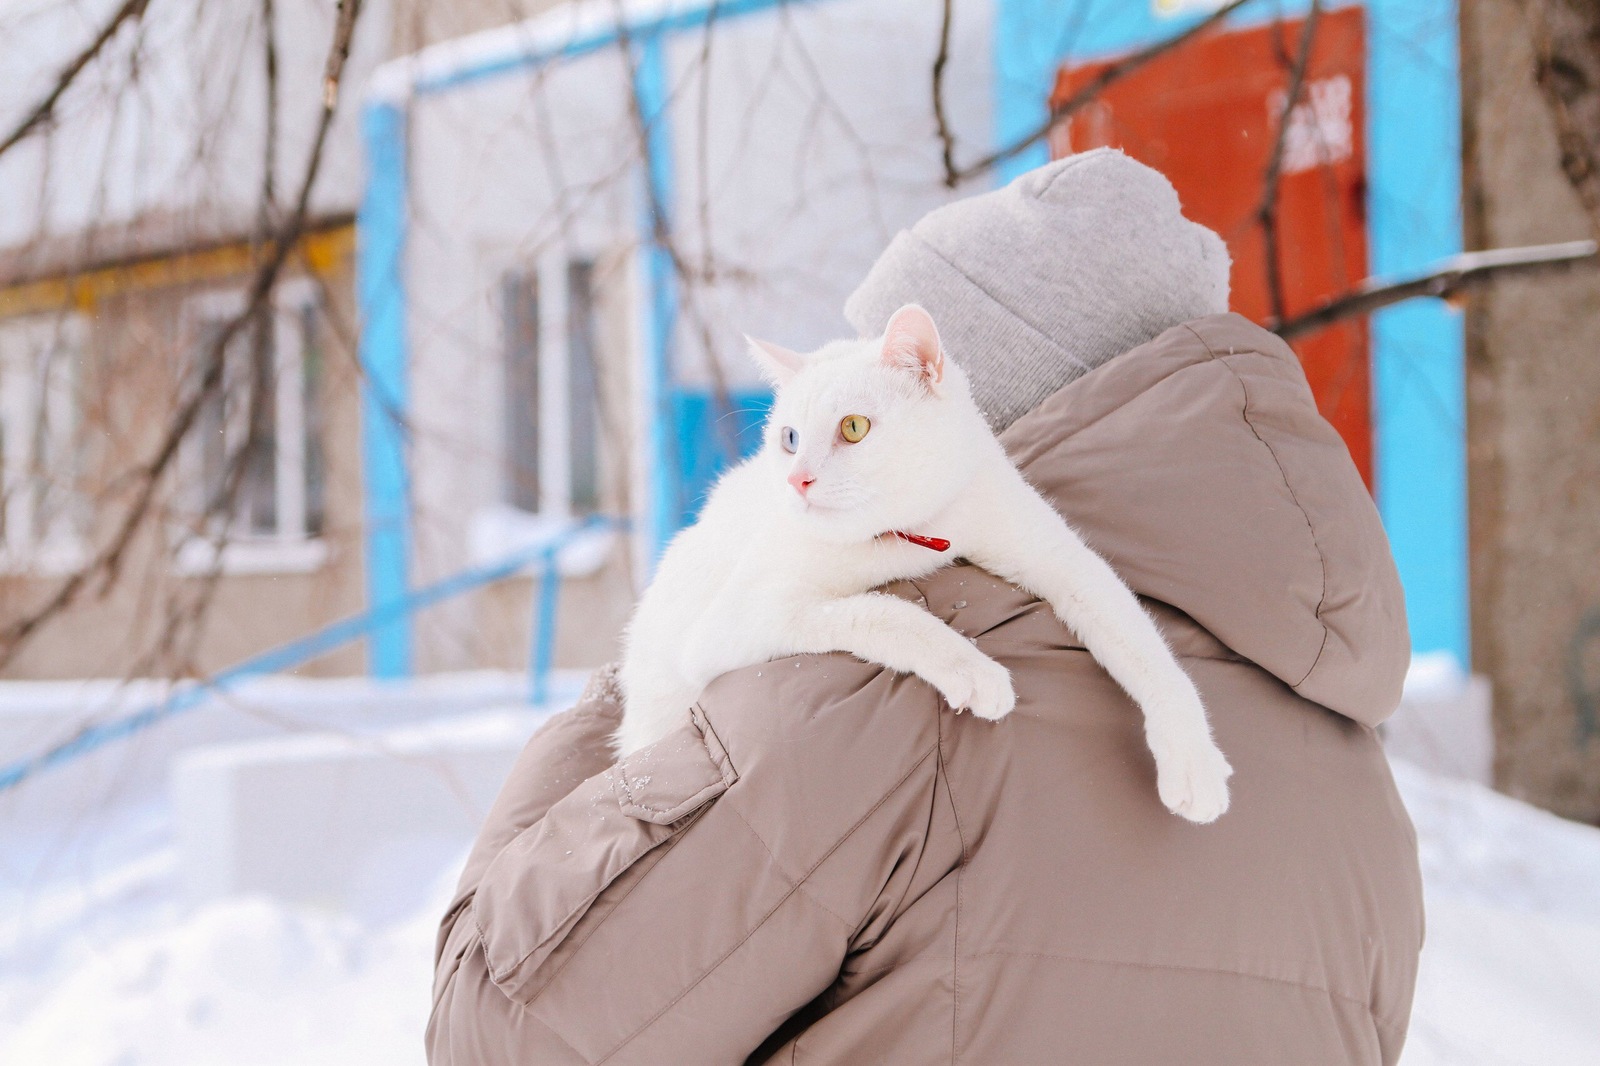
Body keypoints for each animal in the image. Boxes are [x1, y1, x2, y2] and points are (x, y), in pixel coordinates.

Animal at [617, 302, 1228, 816]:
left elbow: (1143, 646)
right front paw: (973, 671)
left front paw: (1192, 759)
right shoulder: (736, 622)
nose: (795, 480)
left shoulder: (1063, 561)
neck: (911, 536)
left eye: (854, 428)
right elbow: (886, 613)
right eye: (788, 438)